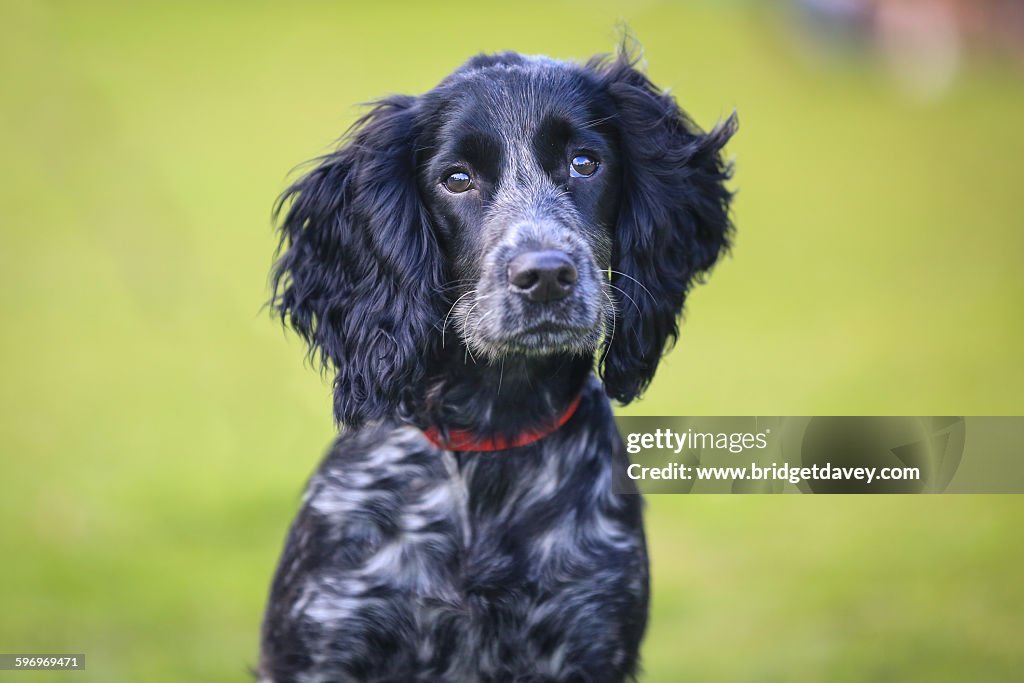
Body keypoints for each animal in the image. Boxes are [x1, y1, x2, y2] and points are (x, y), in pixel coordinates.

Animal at [260, 49, 733, 683]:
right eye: (457, 178)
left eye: (585, 163)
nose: (547, 275)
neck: (491, 434)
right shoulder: (324, 636)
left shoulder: (590, 636)